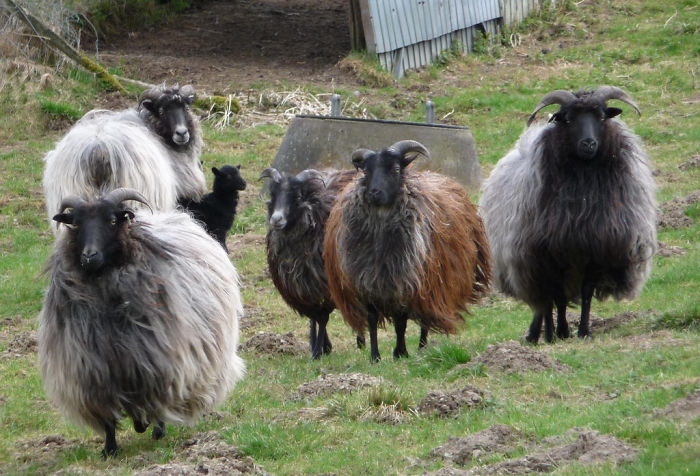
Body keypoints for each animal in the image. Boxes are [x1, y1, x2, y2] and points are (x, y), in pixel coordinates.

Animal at [38, 188, 245, 457]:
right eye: (76, 223)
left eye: (112, 221)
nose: (89, 256)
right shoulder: (94, 371)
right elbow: (108, 418)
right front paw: (109, 450)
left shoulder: (154, 363)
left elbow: (150, 405)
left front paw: (147, 426)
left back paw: (155, 429)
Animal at [261, 167, 365, 359]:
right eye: (273, 193)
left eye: (298, 196)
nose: (276, 219)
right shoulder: (303, 283)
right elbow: (314, 316)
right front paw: (319, 346)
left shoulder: (326, 284)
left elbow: (322, 316)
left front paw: (318, 352)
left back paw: (361, 339)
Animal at [324, 140, 492, 362]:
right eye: (366, 171)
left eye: (395, 169)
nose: (374, 192)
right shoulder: (366, 283)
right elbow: (372, 321)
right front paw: (375, 356)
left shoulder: (405, 284)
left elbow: (400, 323)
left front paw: (400, 353)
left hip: (432, 283)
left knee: (425, 321)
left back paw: (422, 349)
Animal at [478, 86, 657, 343]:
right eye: (569, 119)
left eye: (601, 117)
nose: (588, 144)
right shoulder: (551, 255)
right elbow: (558, 298)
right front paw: (559, 333)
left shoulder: (595, 251)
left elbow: (586, 294)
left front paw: (583, 331)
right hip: (530, 263)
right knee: (543, 302)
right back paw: (538, 335)